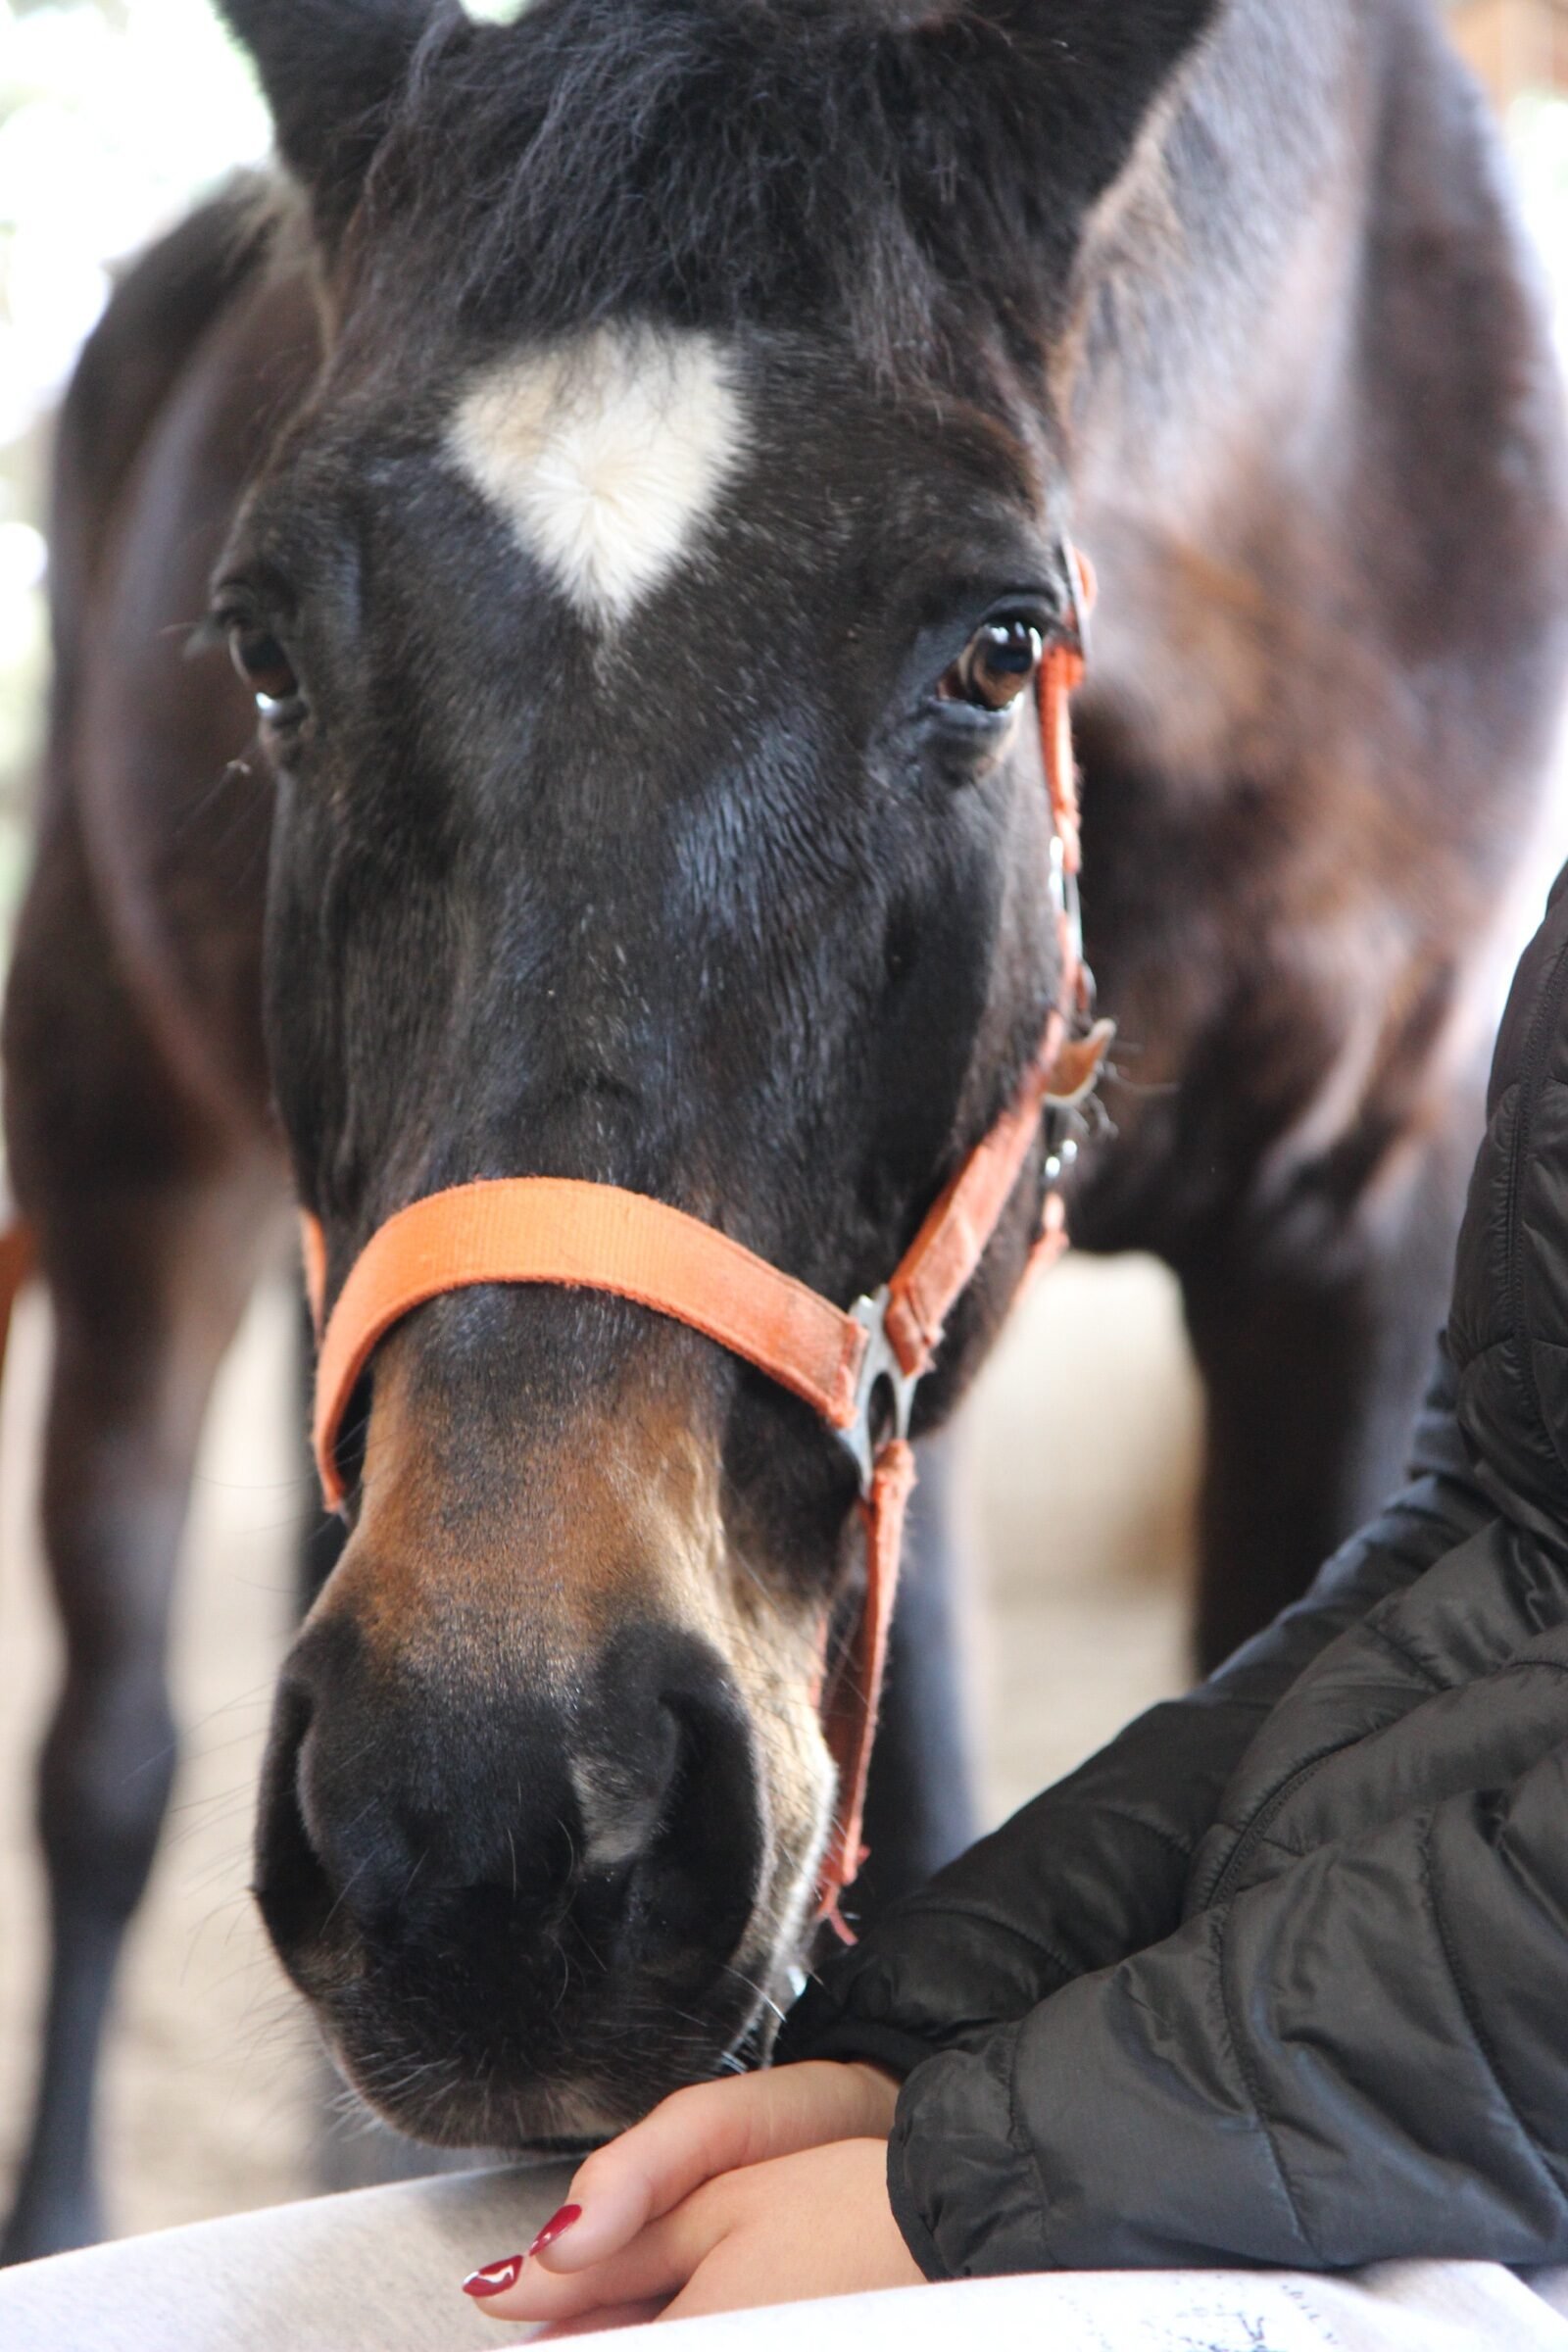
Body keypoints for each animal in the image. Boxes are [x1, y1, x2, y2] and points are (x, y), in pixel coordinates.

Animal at [3, 0, 1565, 2265]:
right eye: (266, 649)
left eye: (996, 644)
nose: (485, 1827)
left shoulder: (1356, 1227)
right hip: (125, 1154)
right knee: (105, 1765)